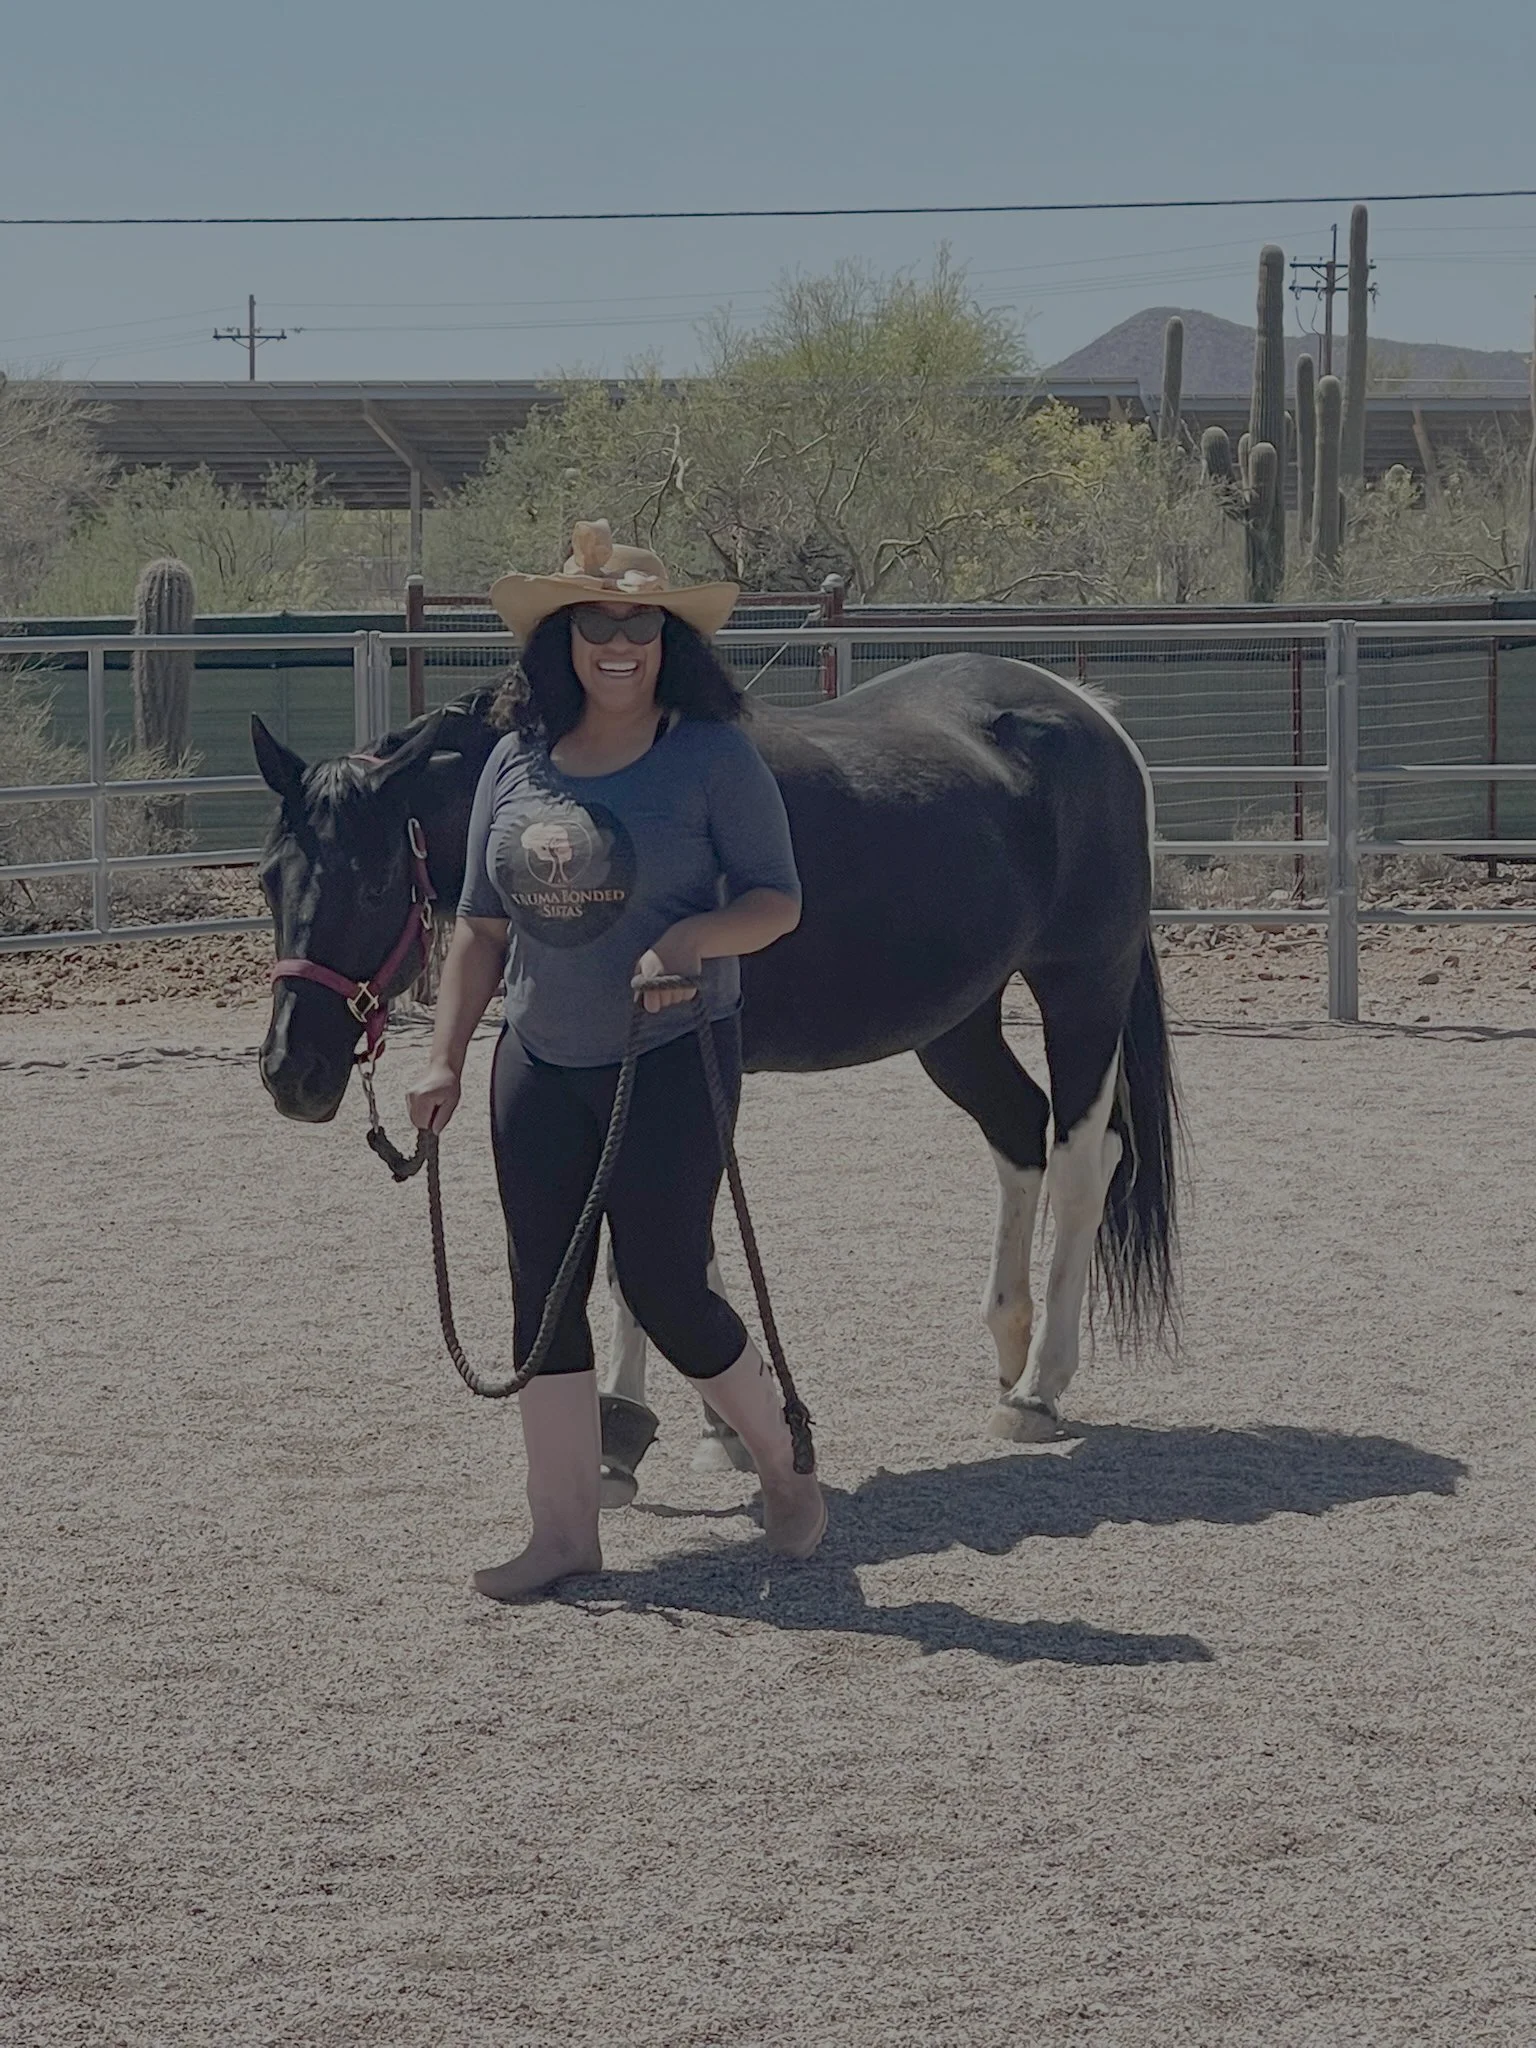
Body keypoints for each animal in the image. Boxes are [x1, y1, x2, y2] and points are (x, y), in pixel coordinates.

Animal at [252, 652, 1178, 1485]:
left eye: (376, 884)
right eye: (267, 880)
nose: (291, 1072)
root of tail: (1089, 715)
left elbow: (652, 1236)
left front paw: (640, 1426)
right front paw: (713, 1422)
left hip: (1082, 989)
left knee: (1083, 1161)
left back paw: (1037, 1390)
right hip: (957, 1021)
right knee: (1019, 1132)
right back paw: (1010, 1349)